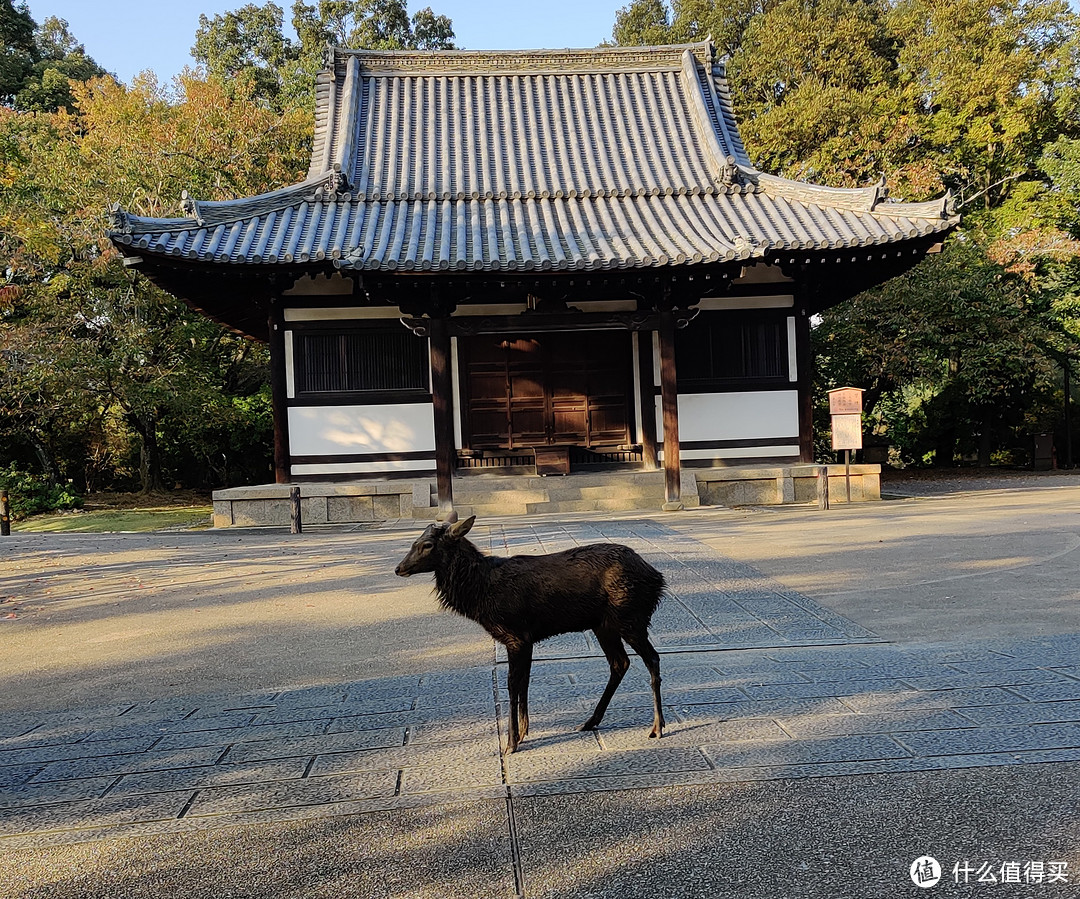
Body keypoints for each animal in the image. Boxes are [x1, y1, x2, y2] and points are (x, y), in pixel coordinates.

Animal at [397, 512, 665, 752]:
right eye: (414, 541)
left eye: (427, 545)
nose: (399, 568)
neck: (482, 594)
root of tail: (657, 578)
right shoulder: (526, 639)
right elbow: (524, 681)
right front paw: (524, 731)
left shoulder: (515, 635)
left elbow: (512, 684)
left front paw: (511, 742)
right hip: (604, 625)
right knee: (620, 663)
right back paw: (590, 722)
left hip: (630, 617)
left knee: (652, 658)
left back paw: (657, 726)